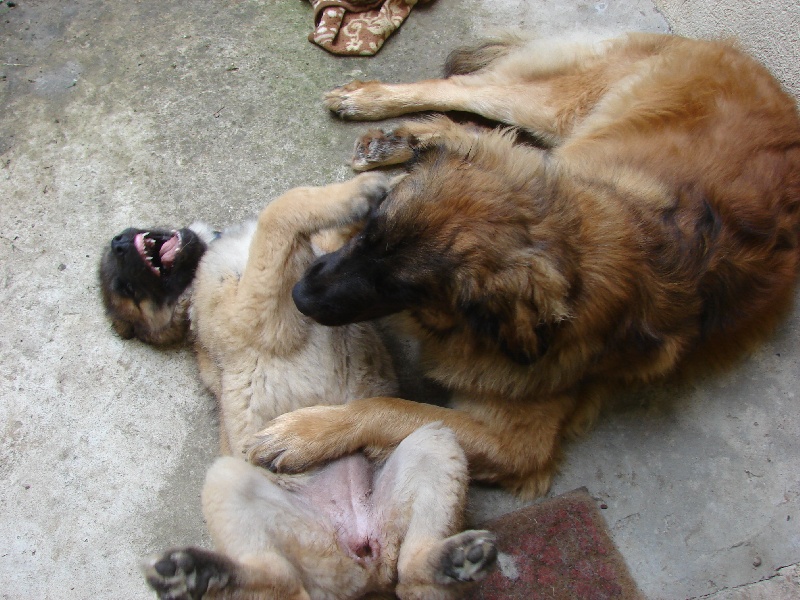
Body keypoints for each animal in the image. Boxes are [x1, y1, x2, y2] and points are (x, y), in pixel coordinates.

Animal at [99, 174, 497, 599]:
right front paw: (358, 190)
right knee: (278, 581)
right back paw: (197, 571)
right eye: (124, 287)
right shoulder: (251, 312)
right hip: (231, 484)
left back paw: (455, 558)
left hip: (434, 444)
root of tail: (359, 561)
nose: (119, 241)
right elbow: (280, 210)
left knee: (413, 575)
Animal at [245, 32, 800, 499]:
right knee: (462, 96)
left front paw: (309, 431)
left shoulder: (515, 443)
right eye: (371, 234)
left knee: (473, 122)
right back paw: (377, 111)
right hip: (553, 111)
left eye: (401, 286)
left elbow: (390, 408)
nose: (299, 296)